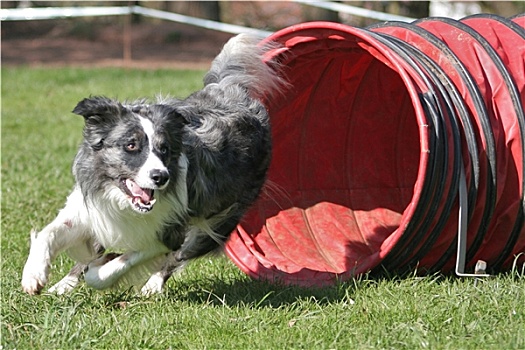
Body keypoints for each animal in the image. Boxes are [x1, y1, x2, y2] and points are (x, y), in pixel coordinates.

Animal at [21, 33, 286, 296]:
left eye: (164, 149)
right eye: (131, 145)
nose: (161, 177)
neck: (121, 200)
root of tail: (230, 91)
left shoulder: (166, 233)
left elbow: (116, 266)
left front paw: (101, 270)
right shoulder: (88, 211)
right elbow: (47, 234)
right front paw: (33, 276)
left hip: (220, 220)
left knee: (179, 256)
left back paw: (152, 285)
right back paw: (62, 286)